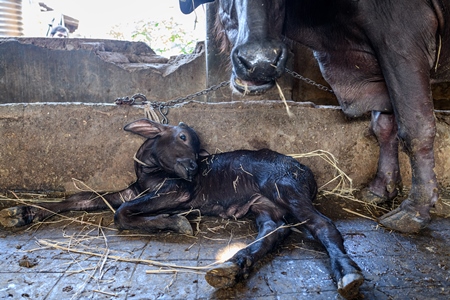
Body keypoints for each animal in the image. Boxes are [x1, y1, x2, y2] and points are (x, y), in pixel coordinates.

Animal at [0, 118, 364, 298]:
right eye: (183, 138)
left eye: (197, 147)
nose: (192, 168)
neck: (149, 173)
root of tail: (306, 171)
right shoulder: (135, 190)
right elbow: (84, 198)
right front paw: (21, 213)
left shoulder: (178, 190)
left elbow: (122, 213)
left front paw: (177, 222)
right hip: (262, 205)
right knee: (275, 232)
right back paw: (232, 266)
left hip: (285, 188)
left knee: (322, 225)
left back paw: (348, 273)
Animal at [181, 0, 448, 233]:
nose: (260, 62)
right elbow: (383, 126)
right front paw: (381, 189)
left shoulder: (401, 44)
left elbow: (415, 127)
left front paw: (415, 209)